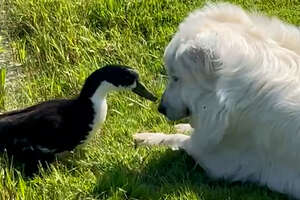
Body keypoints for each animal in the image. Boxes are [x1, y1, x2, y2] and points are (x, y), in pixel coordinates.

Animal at [135, 1, 300, 198]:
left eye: (175, 78)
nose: (161, 108)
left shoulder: (215, 157)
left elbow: (177, 139)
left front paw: (146, 138)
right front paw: (180, 127)